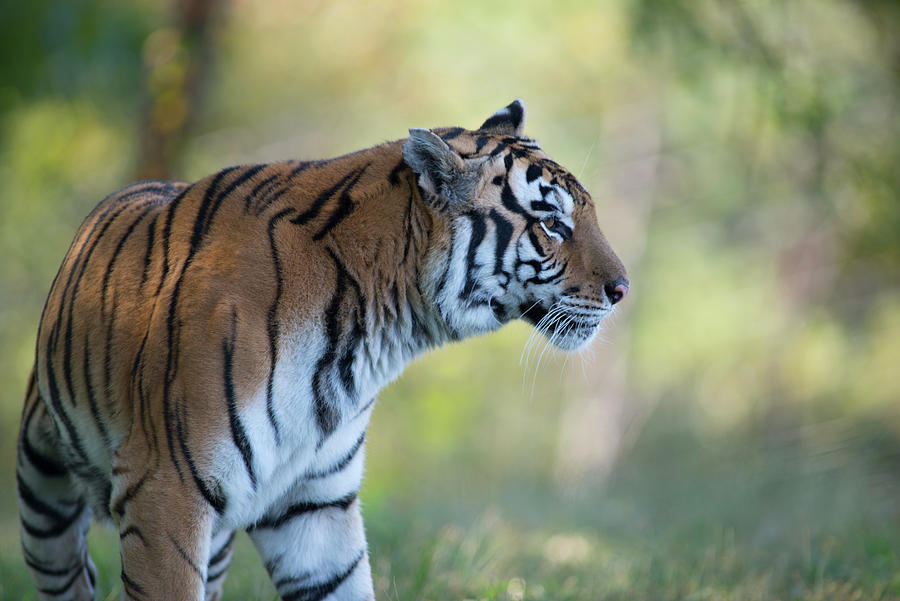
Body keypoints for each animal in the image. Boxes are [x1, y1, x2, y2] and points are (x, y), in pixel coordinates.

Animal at [19, 101, 624, 600]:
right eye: (553, 223)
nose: (623, 289)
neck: (378, 325)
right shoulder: (165, 489)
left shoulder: (316, 502)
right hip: (43, 489)